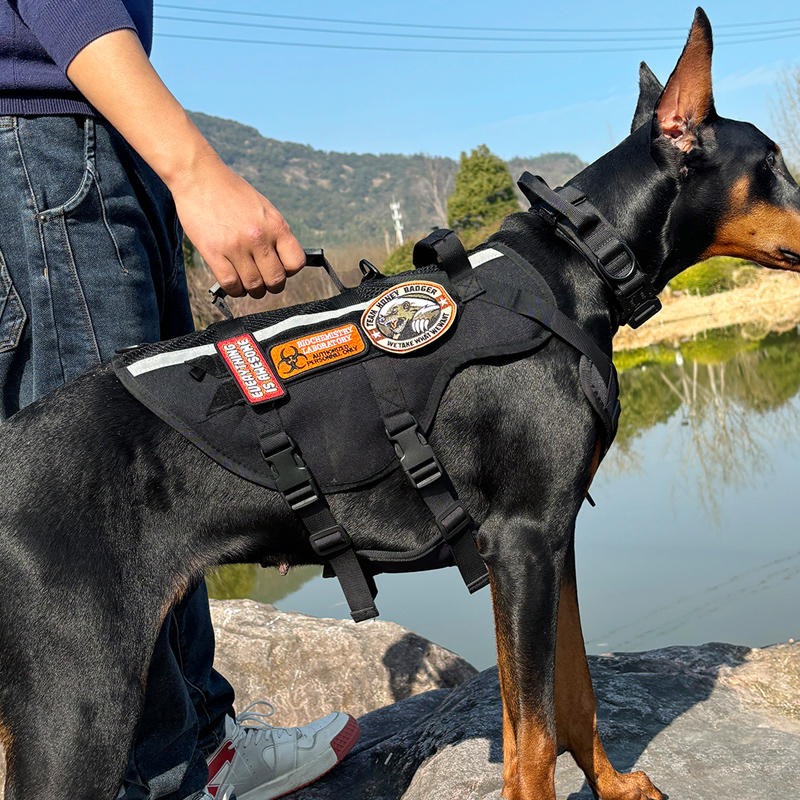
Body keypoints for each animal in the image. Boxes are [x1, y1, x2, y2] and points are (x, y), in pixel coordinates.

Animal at [1, 7, 800, 800]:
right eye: (776, 163)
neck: (578, 265)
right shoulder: (524, 536)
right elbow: (535, 737)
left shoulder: (546, 537)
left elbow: (566, 699)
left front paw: (613, 784)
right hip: (81, 696)